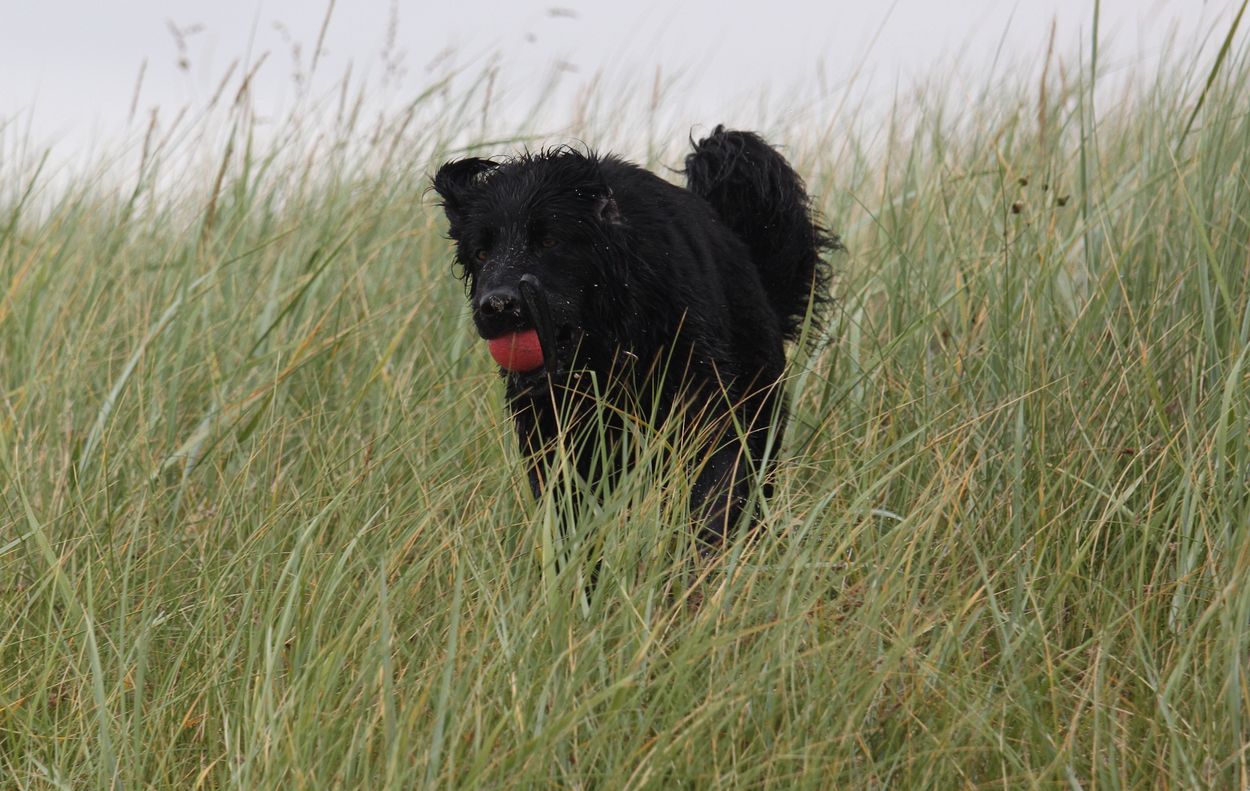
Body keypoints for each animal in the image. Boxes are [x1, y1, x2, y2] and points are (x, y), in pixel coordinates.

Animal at [433, 126, 834, 546]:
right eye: (481, 253)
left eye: (548, 241)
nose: (497, 306)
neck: (615, 335)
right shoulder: (556, 442)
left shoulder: (705, 406)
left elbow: (713, 493)